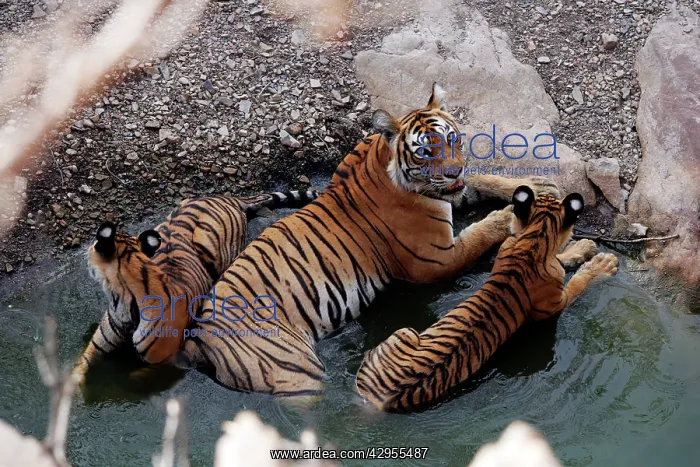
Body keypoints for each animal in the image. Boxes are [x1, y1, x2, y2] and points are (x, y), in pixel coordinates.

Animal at [74, 190, 319, 382]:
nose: (87, 249)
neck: (123, 299)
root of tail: (227, 197)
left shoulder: (163, 360)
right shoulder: (98, 344)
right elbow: (80, 364)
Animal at [174, 84, 571, 397]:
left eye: (452, 139)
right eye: (425, 151)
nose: (453, 170)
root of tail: (200, 337)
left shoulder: (450, 191)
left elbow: (484, 179)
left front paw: (537, 186)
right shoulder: (436, 259)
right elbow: (480, 231)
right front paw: (511, 214)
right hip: (294, 369)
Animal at [355, 186, 617, 412]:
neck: (534, 239)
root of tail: (374, 400)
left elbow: (561, 259)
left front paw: (582, 248)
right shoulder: (553, 305)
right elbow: (577, 282)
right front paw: (602, 262)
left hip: (404, 332)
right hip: (406, 330)